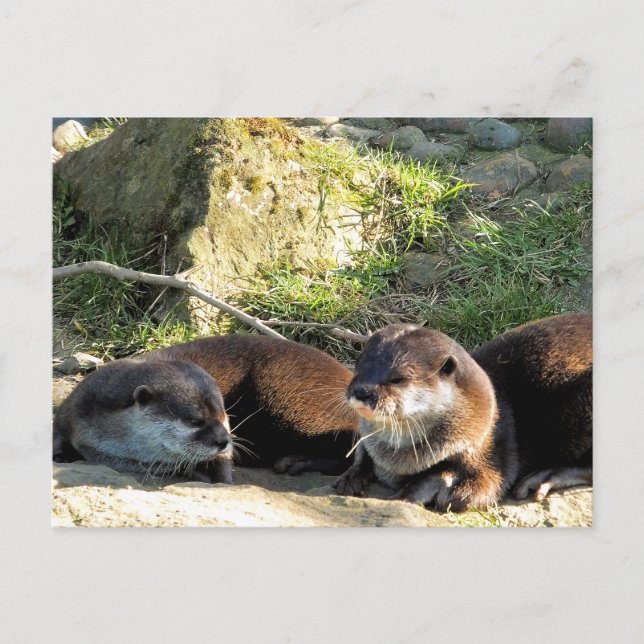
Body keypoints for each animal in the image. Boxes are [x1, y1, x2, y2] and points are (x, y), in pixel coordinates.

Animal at [333, 313, 592, 512]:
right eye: (358, 366)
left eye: (398, 378)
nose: (361, 391)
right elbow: (361, 452)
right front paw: (352, 475)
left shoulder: (492, 450)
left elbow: (481, 489)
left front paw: (416, 491)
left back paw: (546, 477)